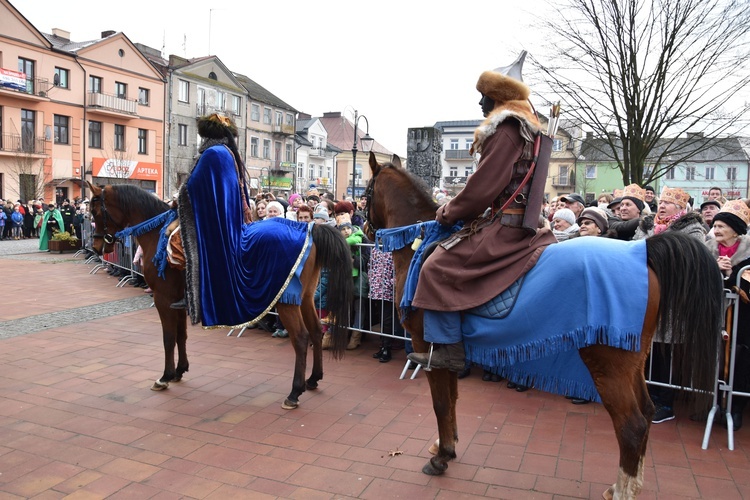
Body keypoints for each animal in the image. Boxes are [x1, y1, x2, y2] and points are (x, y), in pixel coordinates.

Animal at [368, 153, 724, 500]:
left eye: (368, 192)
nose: (370, 231)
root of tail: (643, 253)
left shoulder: (425, 345)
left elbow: (441, 402)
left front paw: (441, 457)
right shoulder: (447, 352)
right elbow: (452, 399)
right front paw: (448, 445)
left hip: (609, 365)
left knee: (632, 425)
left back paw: (623, 491)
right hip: (632, 362)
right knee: (647, 412)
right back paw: (629, 483)